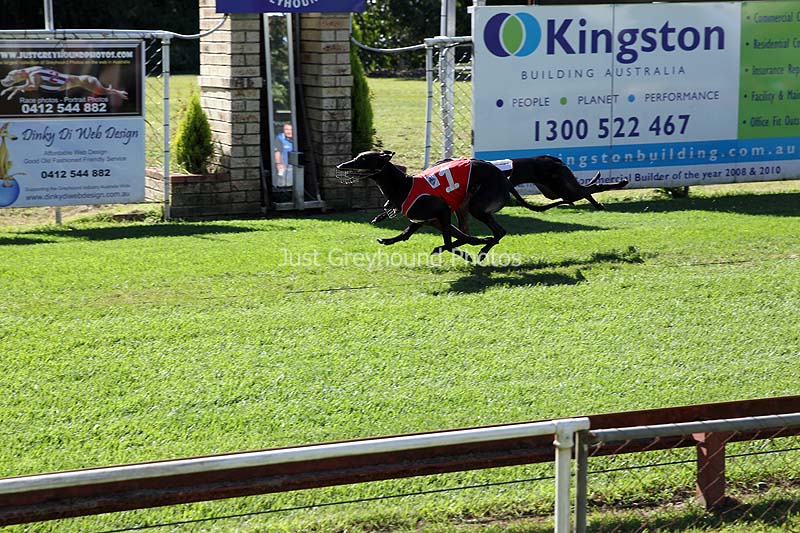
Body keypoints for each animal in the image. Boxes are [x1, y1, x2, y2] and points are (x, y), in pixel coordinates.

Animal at [336, 151, 628, 262]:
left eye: (362, 159)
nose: (341, 165)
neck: (404, 185)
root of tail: (502, 176)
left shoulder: (441, 212)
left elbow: (451, 241)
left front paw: (463, 247)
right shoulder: (432, 219)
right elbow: (410, 233)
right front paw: (388, 238)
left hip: (481, 205)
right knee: (495, 232)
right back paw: (482, 248)